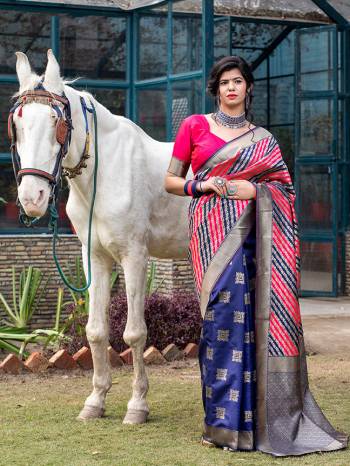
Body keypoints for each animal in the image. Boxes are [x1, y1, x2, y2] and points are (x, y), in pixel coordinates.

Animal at [14, 50, 191, 422]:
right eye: (18, 124)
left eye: (56, 123)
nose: (32, 198)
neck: (105, 171)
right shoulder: (94, 257)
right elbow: (95, 331)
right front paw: (95, 401)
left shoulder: (134, 256)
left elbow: (135, 333)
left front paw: (137, 406)